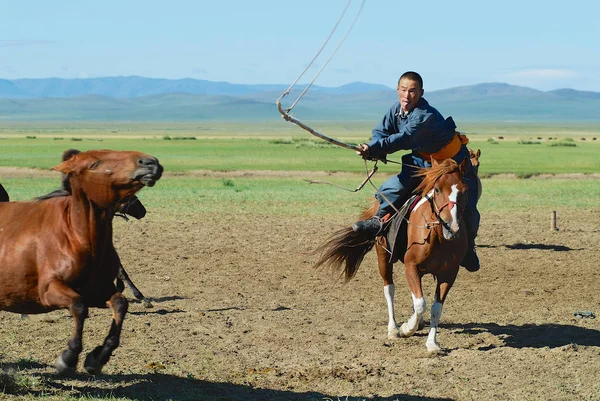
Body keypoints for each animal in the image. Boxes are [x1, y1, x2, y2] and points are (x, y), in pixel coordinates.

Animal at [0, 148, 162, 374]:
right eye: (94, 163)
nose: (150, 163)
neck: (77, 236)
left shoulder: (97, 291)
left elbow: (120, 302)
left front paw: (98, 357)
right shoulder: (49, 290)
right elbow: (79, 305)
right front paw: (68, 356)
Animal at [314, 158, 468, 352]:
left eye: (464, 190)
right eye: (438, 189)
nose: (452, 227)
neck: (438, 237)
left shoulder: (448, 274)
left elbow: (435, 308)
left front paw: (432, 343)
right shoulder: (411, 267)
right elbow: (420, 304)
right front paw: (406, 328)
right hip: (383, 257)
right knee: (390, 289)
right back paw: (393, 328)